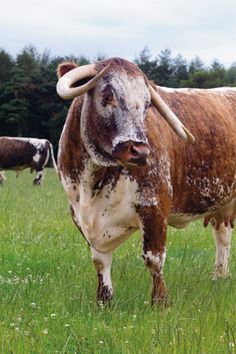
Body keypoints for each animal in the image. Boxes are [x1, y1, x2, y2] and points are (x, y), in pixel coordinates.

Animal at [56, 57, 235, 304]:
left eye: (147, 105)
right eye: (107, 96)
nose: (140, 151)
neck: (93, 181)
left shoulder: (154, 206)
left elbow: (154, 259)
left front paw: (161, 302)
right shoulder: (79, 214)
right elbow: (100, 260)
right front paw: (104, 300)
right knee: (223, 236)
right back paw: (219, 277)